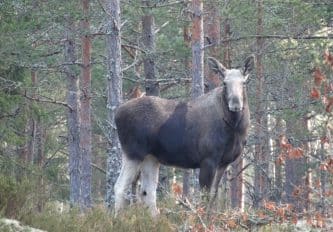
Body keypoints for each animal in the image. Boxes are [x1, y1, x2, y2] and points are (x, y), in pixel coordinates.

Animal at [113, 56, 253, 216]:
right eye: (224, 83)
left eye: (244, 82)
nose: (235, 104)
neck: (234, 129)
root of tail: (116, 114)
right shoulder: (208, 160)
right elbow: (204, 197)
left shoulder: (223, 163)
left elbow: (213, 196)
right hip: (133, 153)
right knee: (120, 187)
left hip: (150, 158)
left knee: (147, 192)